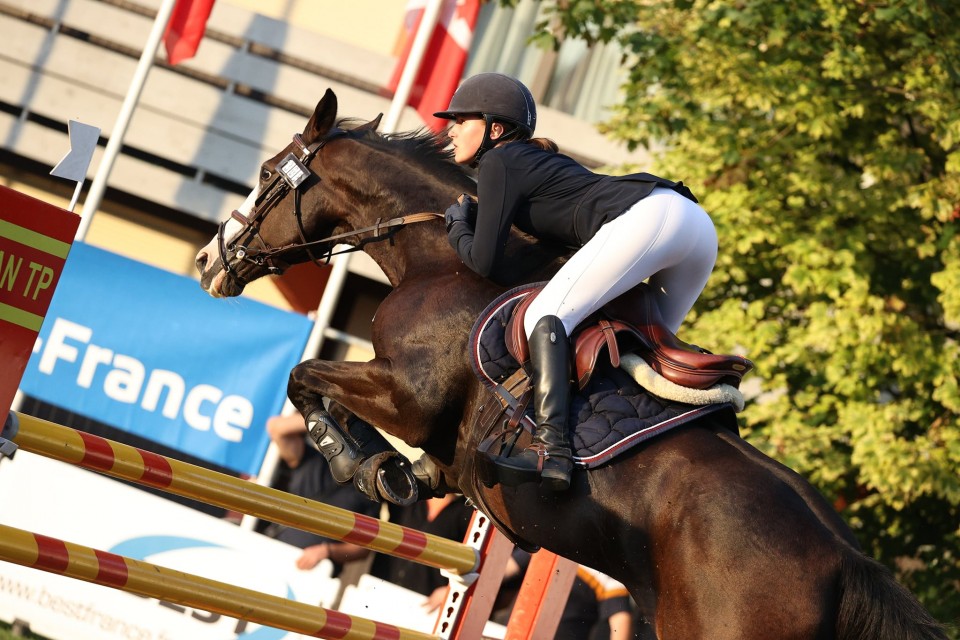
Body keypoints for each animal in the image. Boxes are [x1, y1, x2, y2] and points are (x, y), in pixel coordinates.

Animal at [193, 90, 944, 640]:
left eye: (268, 176)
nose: (207, 260)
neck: (438, 259)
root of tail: (845, 561)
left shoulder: (407, 394)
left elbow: (307, 377)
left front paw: (359, 462)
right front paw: (396, 471)